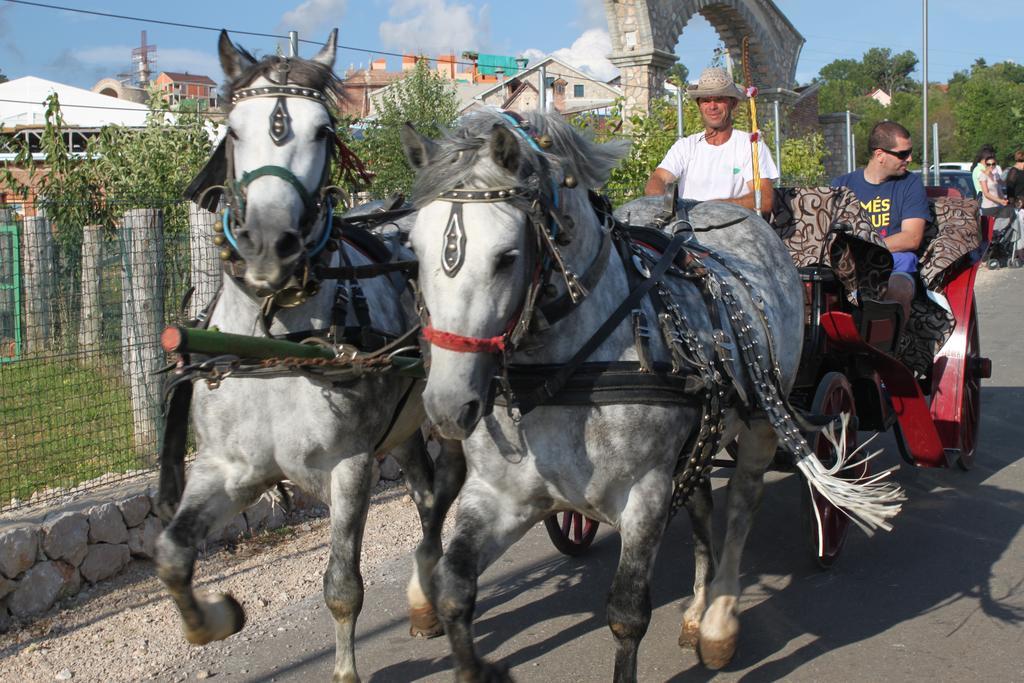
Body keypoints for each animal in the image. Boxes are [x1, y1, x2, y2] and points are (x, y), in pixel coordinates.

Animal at [153, 29, 462, 679]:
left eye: (323, 130)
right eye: (232, 128)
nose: (270, 245)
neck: (270, 344)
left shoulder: (350, 467)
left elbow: (342, 586)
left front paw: (345, 668)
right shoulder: (227, 469)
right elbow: (171, 553)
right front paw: (218, 616)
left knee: (445, 489)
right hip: (403, 425)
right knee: (426, 495)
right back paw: (424, 601)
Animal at [403, 109, 901, 679]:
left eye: (506, 257)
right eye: (413, 251)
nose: (446, 406)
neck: (566, 374)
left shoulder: (645, 495)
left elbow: (626, 615)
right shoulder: (497, 495)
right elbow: (454, 590)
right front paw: (476, 664)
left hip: (760, 421)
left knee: (741, 508)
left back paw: (719, 622)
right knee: (705, 504)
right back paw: (698, 610)